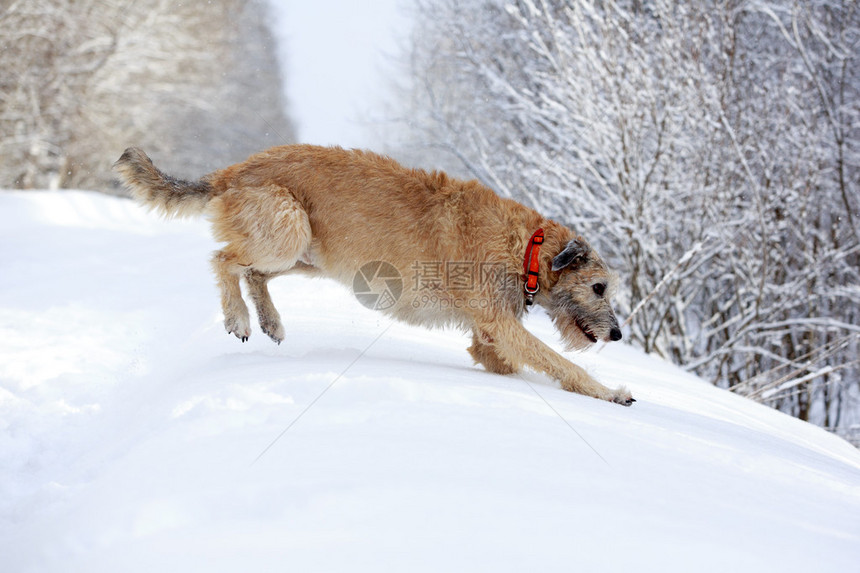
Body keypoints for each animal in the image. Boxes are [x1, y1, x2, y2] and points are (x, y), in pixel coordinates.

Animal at [116, 147, 632, 406]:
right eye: (599, 287)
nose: (618, 335)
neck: (529, 247)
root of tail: (233, 170)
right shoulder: (501, 323)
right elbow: (562, 363)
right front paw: (609, 392)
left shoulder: (488, 336)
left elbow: (506, 359)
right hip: (288, 227)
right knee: (223, 260)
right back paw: (238, 317)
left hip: (307, 253)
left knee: (255, 273)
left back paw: (269, 320)